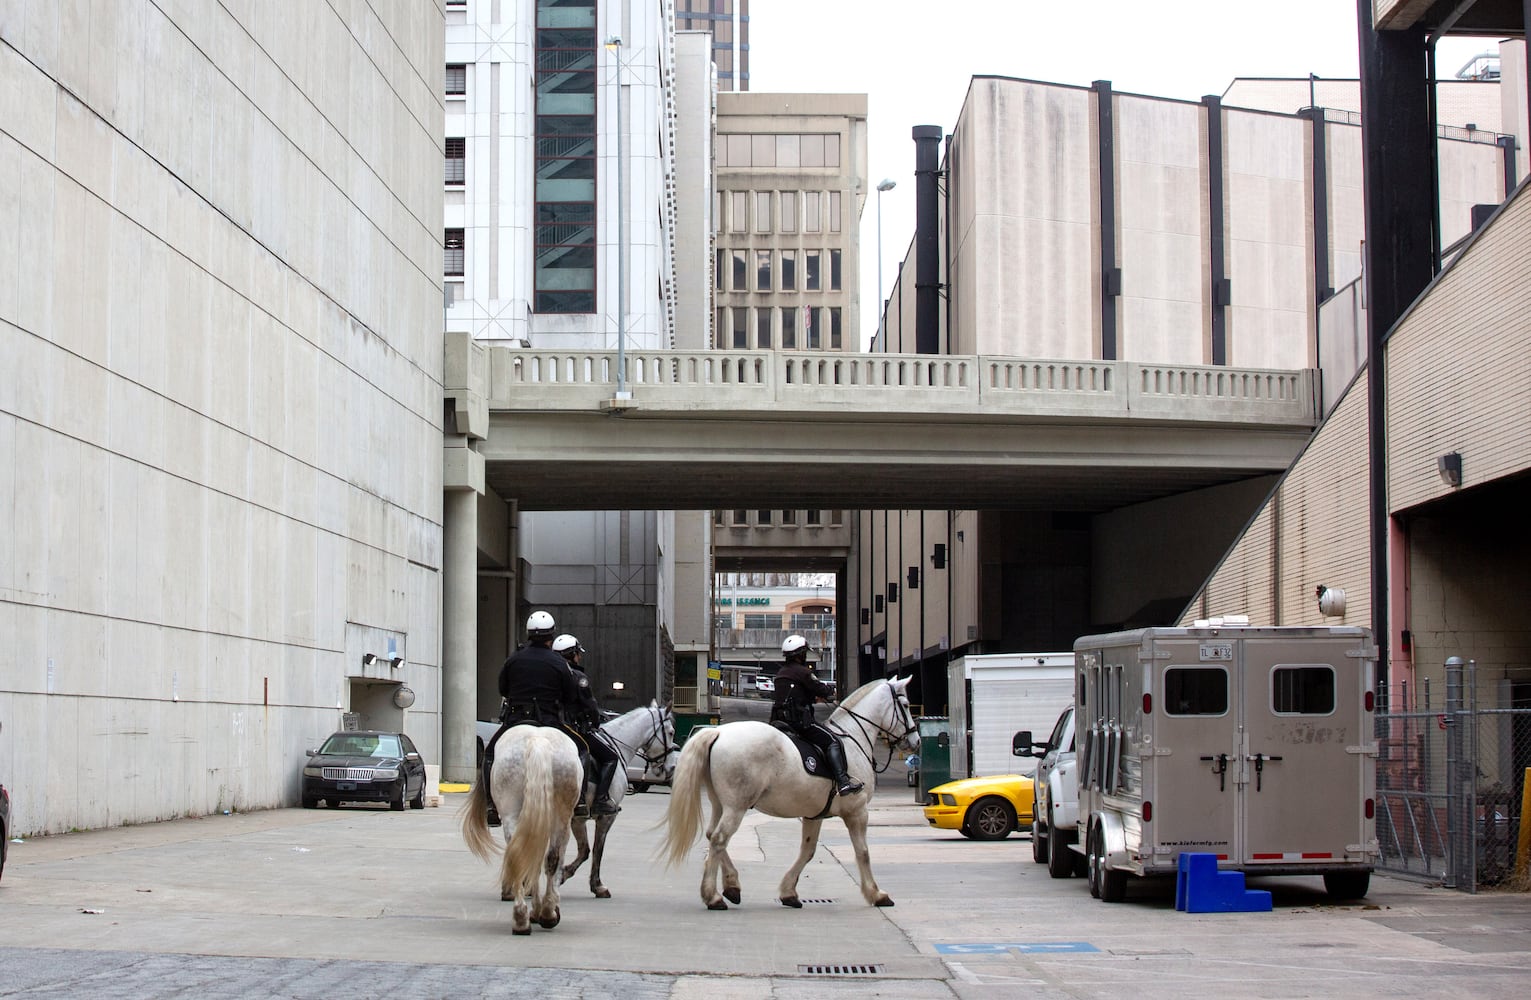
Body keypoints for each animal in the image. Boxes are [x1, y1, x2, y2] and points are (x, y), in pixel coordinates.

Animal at [456, 722, 581, 931]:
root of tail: (537, 740)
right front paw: (544, 910)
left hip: (517, 814)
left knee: (526, 856)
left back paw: (525, 916)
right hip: (559, 817)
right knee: (545, 857)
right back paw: (538, 914)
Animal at [560, 701, 673, 894]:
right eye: (671, 732)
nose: (672, 767)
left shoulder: (578, 819)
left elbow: (585, 850)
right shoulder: (606, 816)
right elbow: (596, 850)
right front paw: (597, 885)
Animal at [655, 673, 912, 906]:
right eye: (907, 705)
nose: (915, 741)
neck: (851, 740)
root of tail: (718, 732)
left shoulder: (814, 815)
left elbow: (808, 850)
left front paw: (789, 892)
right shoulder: (857, 812)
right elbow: (863, 852)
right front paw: (876, 894)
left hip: (720, 803)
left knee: (712, 835)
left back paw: (732, 885)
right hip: (736, 807)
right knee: (719, 838)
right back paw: (713, 896)